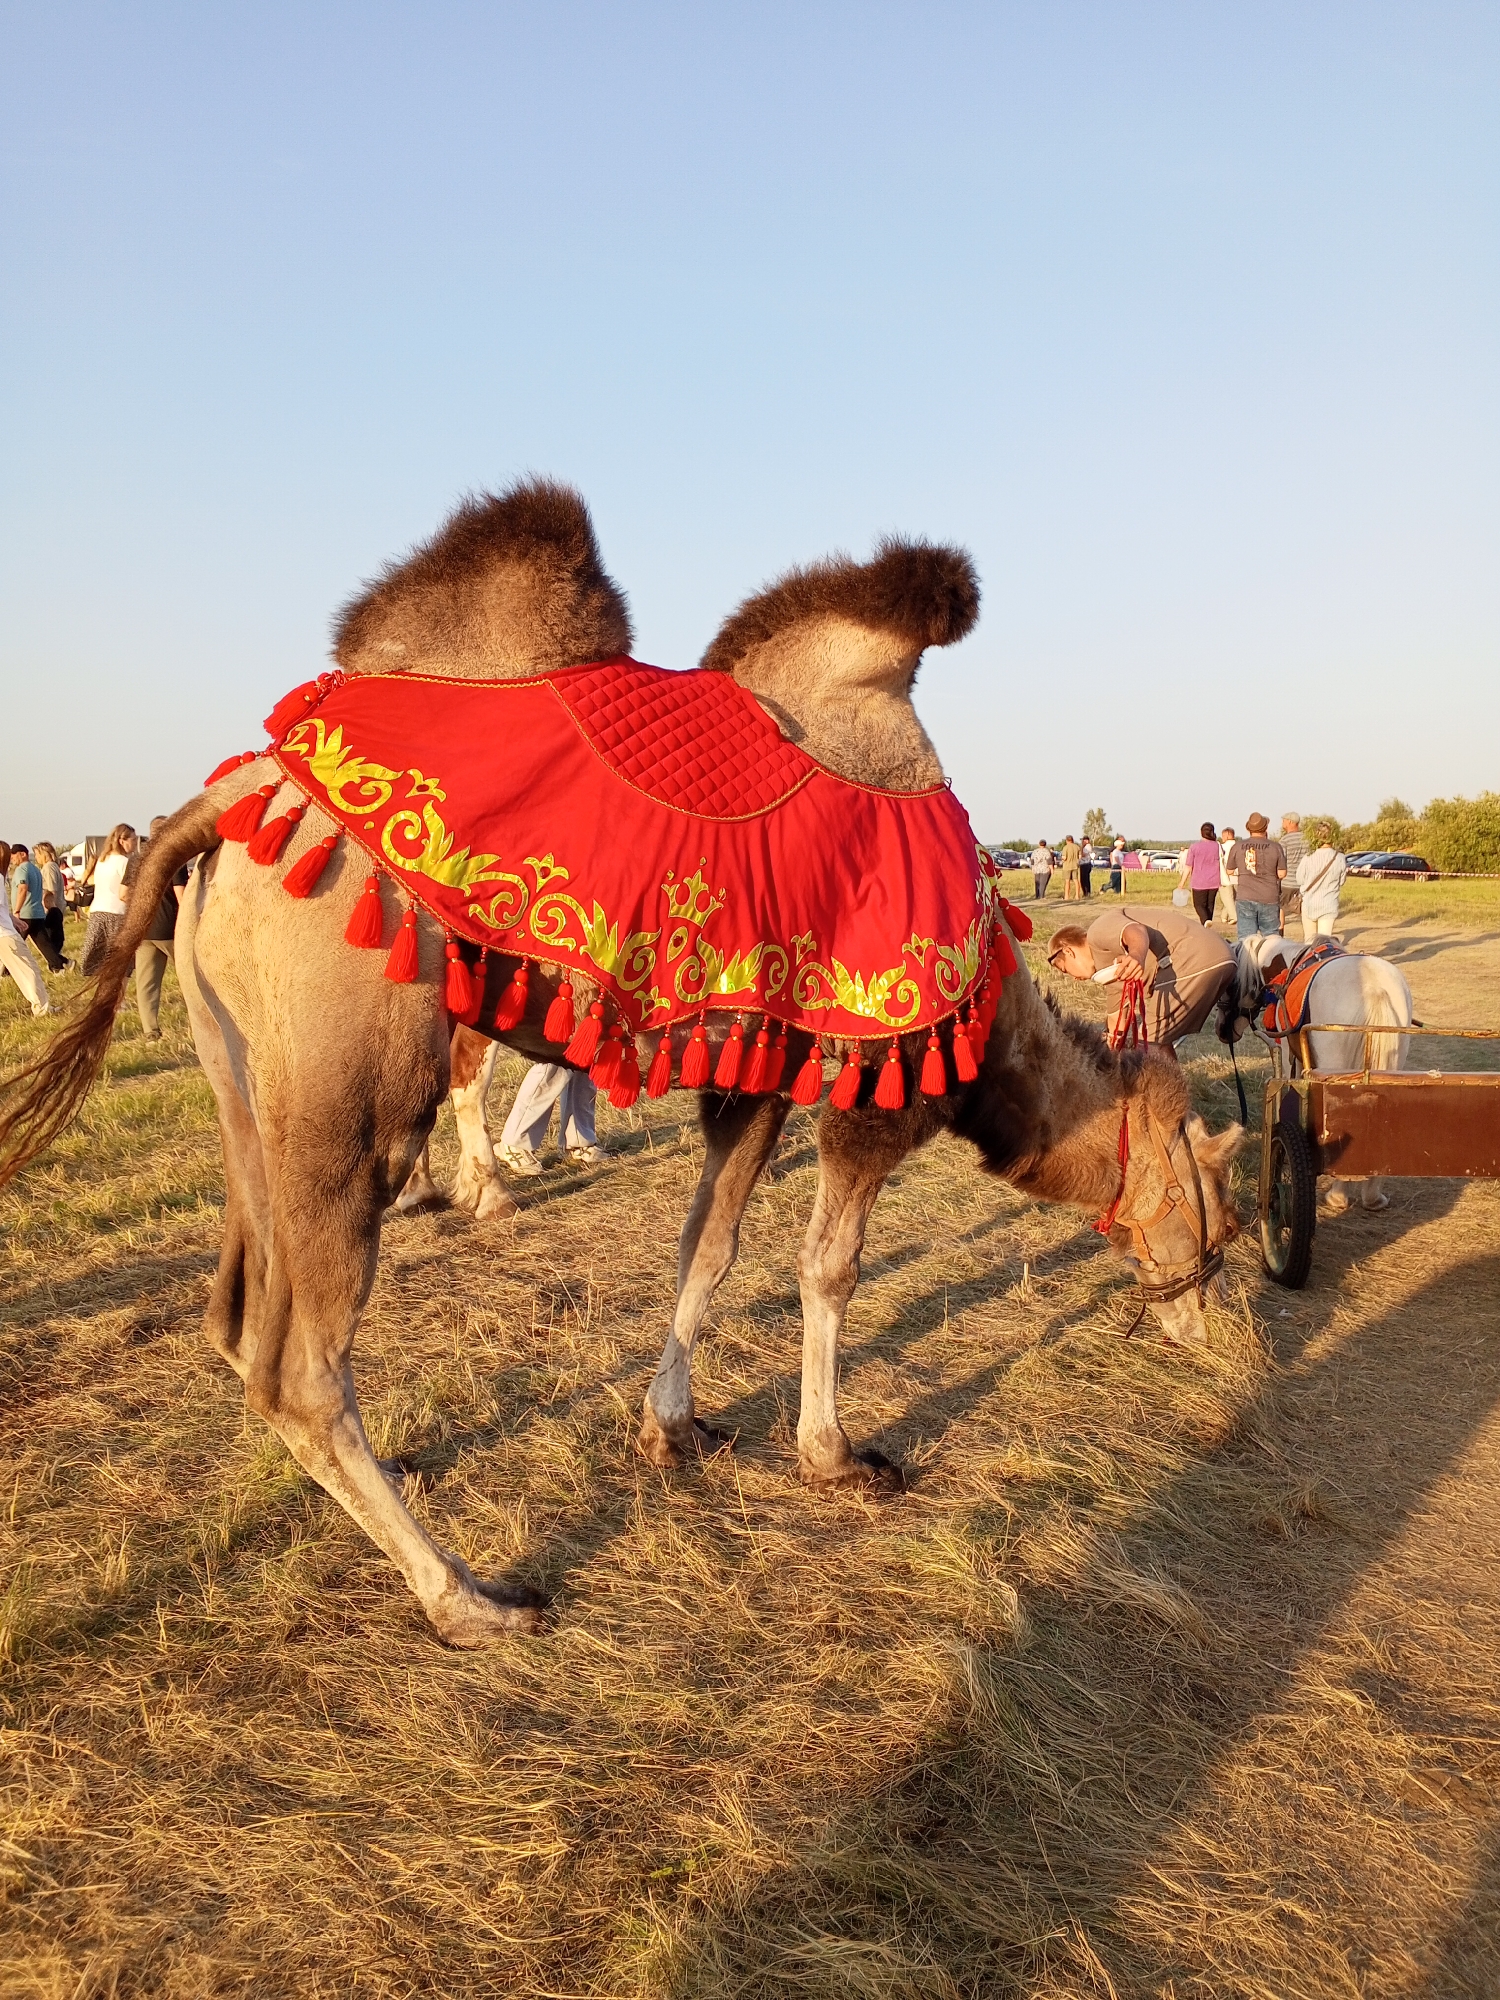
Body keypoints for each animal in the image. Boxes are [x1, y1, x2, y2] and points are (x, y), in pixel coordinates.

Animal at [0, 480, 1244, 1648]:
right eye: (1214, 1205)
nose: (1208, 1326)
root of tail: (227, 799)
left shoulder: (759, 1072)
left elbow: (710, 1243)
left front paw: (674, 1425)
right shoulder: (877, 1074)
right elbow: (827, 1267)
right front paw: (837, 1454)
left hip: (245, 1086)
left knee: (235, 1318)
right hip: (353, 1085)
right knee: (301, 1361)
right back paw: (472, 1597)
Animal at [1217, 932, 1413, 1211]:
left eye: (1230, 983)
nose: (1221, 1030)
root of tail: (1375, 988)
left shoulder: (1289, 1054)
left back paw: (1338, 1196)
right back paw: (1372, 1197)